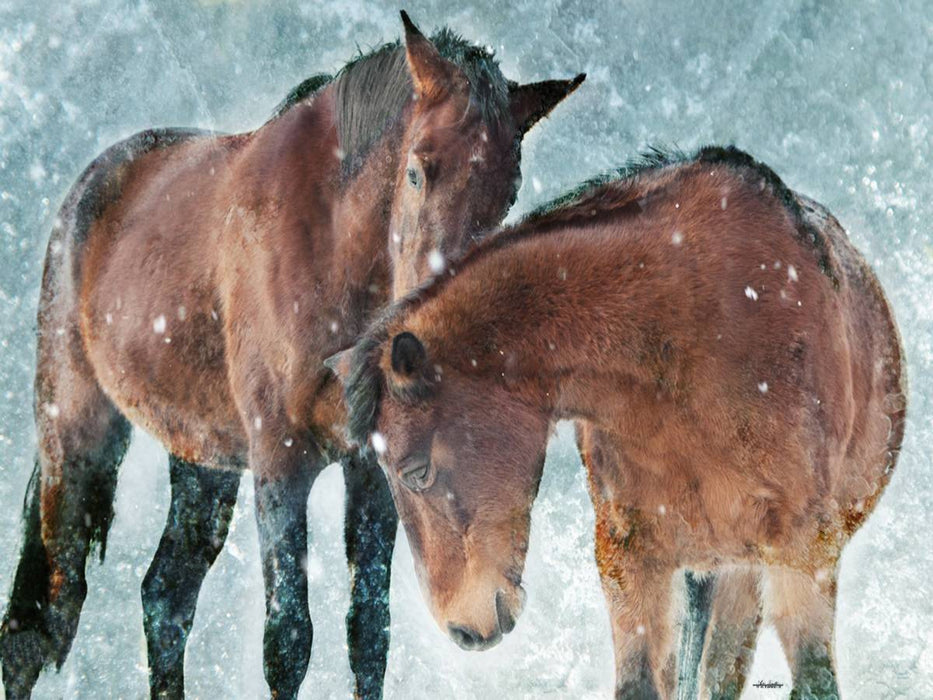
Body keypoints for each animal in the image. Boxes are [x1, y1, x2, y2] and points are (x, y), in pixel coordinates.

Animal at [0, 12, 584, 699]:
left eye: (508, 192)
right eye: (418, 171)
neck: (332, 250)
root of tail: (86, 192)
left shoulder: (373, 472)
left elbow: (368, 632)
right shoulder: (280, 463)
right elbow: (288, 640)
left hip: (201, 460)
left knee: (165, 599)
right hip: (76, 437)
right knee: (42, 622)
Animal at [335, 146, 907, 699]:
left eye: (415, 471)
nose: (463, 631)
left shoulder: (801, 556)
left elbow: (815, 683)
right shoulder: (631, 564)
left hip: (744, 577)